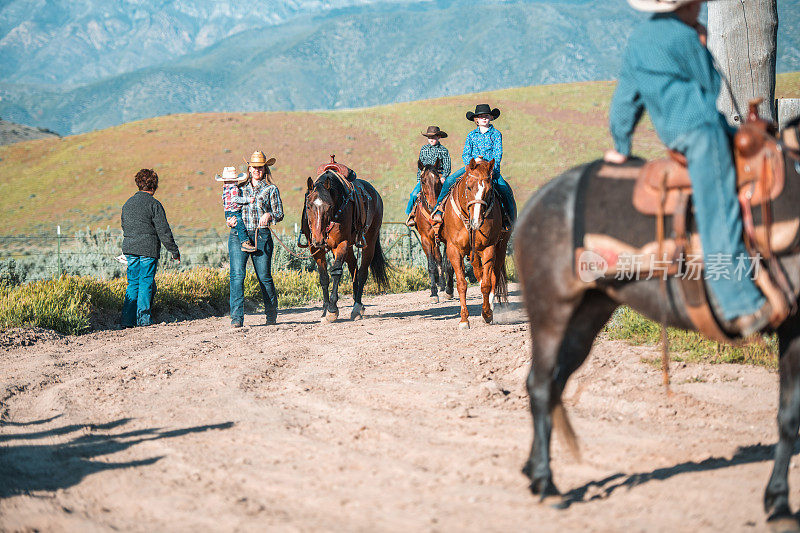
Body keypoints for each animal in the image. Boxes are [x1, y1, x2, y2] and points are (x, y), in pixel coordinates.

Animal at [304, 170, 388, 320]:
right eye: (308, 206)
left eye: (329, 207)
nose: (319, 239)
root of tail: (376, 195)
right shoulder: (316, 250)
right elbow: (324, 277)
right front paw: (325, 310)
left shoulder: (341, 244)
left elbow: (336, 271)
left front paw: (332, 309)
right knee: (353, 267)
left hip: (369, 242)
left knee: (362, 272)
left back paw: (357, 307)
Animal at [416, 158, 454, 302]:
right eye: (423, 181)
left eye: (438, 180)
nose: (433, 206)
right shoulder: (426, 239)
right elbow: (431, 265)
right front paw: (433, 293)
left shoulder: (447, 239)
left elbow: (446, 263)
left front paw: (448, 289)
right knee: (436, 259)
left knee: (440, 260)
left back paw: (443, 286)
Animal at [440, 157, 510, 328]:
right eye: (469, 187)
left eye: (490, 190)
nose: (477, 221)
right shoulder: (454, 250)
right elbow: (462, 284)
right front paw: (464, 320)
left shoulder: (488, 248)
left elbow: (486, 284)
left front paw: (487, 314)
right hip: (474, 255)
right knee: (480, 274)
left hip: (500, 249)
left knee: (493, 278)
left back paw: (490, 308)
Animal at [512, 119, 800, 524]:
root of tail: (535, 205)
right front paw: (778, 501)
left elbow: (789, 416)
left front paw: (777, 501)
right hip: (550, 311)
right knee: (539, 384)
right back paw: (545, 481)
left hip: (588, 316)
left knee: (554, 383)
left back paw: (533, 469)